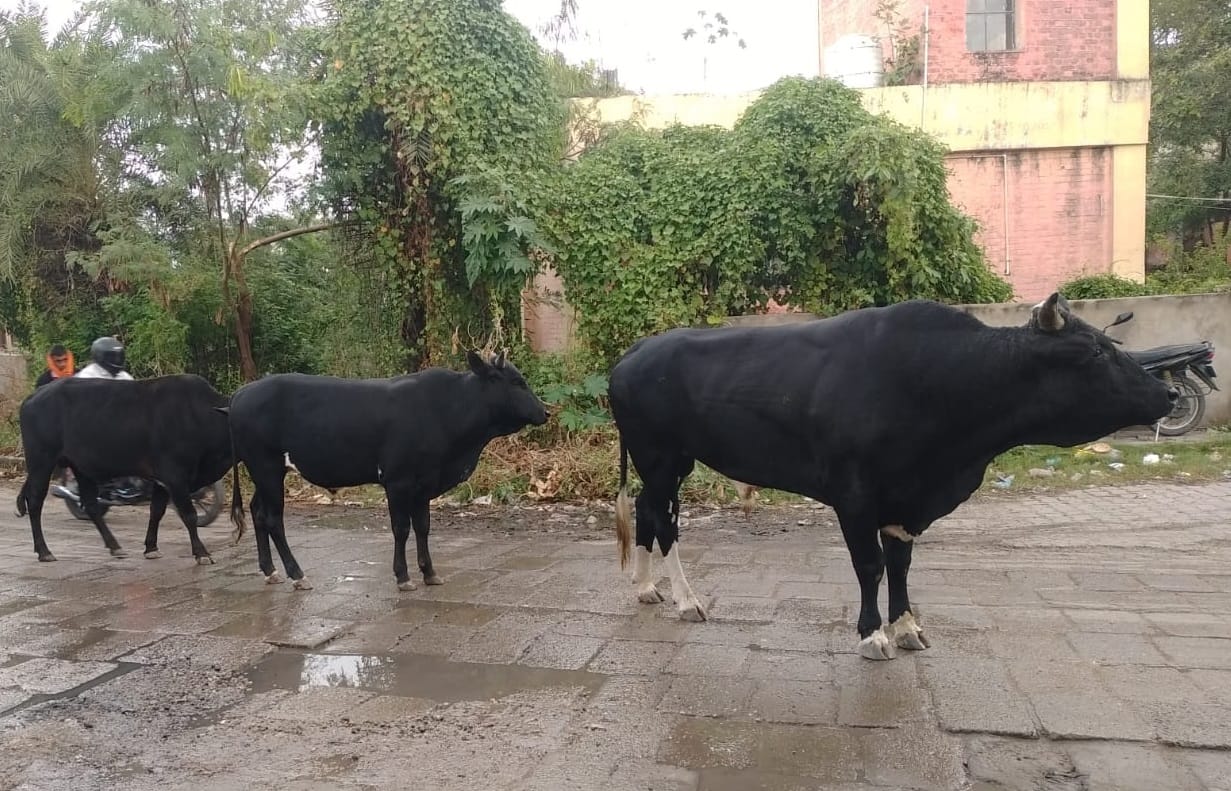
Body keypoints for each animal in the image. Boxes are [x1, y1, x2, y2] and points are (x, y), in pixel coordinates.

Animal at [15, 374, 233, 564]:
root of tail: (33, 396)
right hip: (41, 461)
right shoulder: (175, 475)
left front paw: (151, 548)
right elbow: (189, 515)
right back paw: (44, 551)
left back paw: (114, 546)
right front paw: (202, 553)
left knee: (91, 504)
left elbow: (156, 511)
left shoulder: (162, 480)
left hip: (79, 466)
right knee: (35, 502)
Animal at [225, 350, 549, 591]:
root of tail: (241, 393)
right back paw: (297, 574)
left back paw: (270, 571)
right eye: (517, 382)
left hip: (264, 472)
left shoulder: (424, 483)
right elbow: (401, 528)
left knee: (257, 512)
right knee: (273, 519)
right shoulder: (398, 480)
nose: (545, 411)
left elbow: (423, 526)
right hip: (265, 467)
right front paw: (403, 576)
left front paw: (429, 572)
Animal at [609, 293, 1177, 660]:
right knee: (665, 521)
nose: (1169, 392)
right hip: (660, 457)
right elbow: (871, 565)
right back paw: (687, 600)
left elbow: (901, 564)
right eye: (1096, 352)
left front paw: (906, 627)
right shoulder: (855, 493)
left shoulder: (909, 499)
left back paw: (646, 588)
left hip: (668, 462)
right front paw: (872, 634)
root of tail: (637, 350)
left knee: (645, 511)